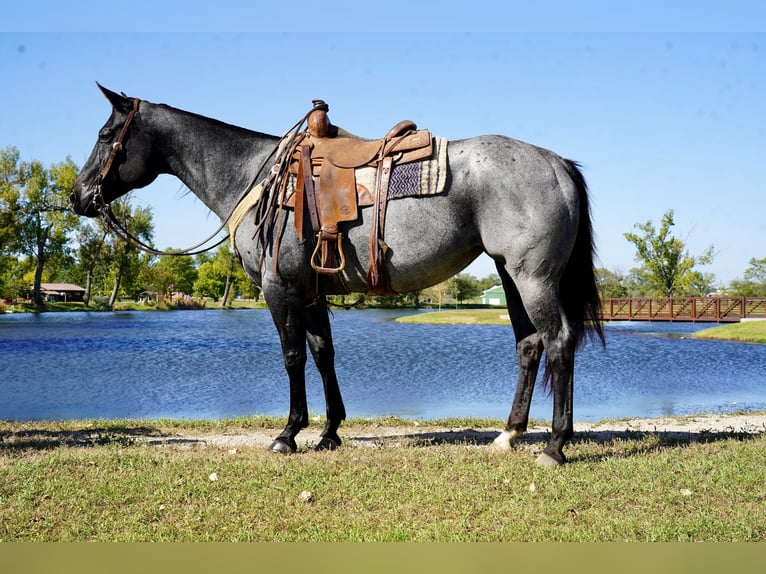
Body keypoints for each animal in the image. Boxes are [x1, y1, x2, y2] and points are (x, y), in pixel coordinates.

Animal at [71, 84, 604, 466]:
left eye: (105, 136)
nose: (78, 196)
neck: (254, 176)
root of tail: (556, 163)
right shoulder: (310, 292)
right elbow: (323, 353)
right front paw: (329, 432)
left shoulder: (280, 289)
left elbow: (292, 357)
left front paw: (288, 434)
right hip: (512, 276)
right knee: (530, 345)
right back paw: (509, 434)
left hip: (533, 278)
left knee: (559, 341)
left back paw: (555, 447)